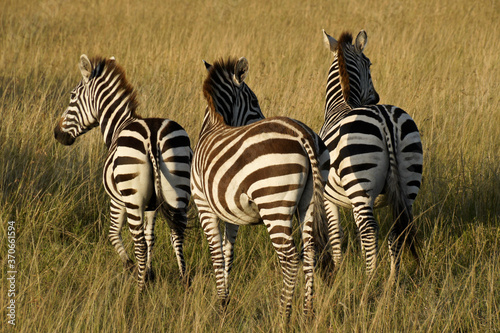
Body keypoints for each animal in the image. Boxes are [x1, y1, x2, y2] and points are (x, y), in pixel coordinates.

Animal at [54, 53, 191, 288]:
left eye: (72, 96)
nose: (57, 133)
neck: (120, 124)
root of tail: (152, 135)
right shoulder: (152, 204)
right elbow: (151, 236)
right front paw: (149, 272)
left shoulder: (116, 199)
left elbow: (113, 234)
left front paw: (133, 267)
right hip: (177, 187)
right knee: (176, 233)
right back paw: (183, 281)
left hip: (132, 198)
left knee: (138, 243)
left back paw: (139, 289)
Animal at [191, 57, 332, 316]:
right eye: (255, 102)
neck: (214, 125)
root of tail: (302, 135)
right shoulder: (231, 212)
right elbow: (228, 253)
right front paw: (226, 300)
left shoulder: (203, 204)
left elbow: (216, 254)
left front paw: (221, 303)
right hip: (309, 200)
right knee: (309, 252)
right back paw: (307, 313)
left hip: (273, 202)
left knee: (289, 259)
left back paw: (283, 315)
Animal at [320, 30, 422, 280]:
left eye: (369, 63)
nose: (376, 97)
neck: (342, 103)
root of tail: (385, 119)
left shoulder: (327, 197)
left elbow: (336, 235)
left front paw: (337, 270)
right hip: (409, 181)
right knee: (398, 231)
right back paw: (392, 282)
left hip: (361, 185)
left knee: (369, 231)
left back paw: (370, 279)